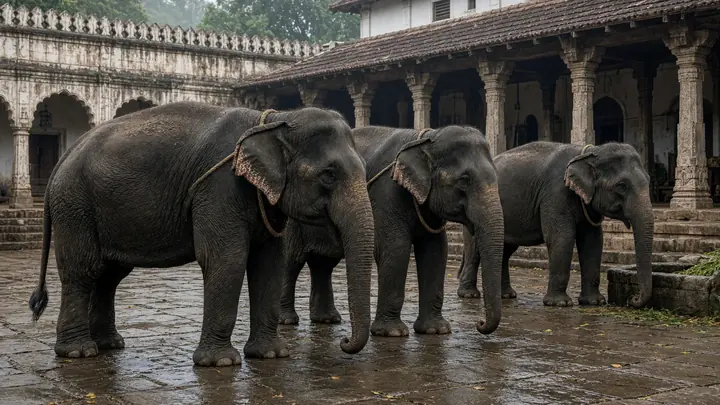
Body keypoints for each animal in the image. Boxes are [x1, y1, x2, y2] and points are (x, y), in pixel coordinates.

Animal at [27, 101, 375, 367]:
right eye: (328, 175)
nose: (344, 340)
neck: (272, 120)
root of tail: (64, 158)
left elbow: (269, 264)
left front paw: (271, 355)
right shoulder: (219, 187)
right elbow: (226, 259)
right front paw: (221, 362)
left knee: (110, 275)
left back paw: (110, 345)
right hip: (75, 205)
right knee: (82, 270)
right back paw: (79, 352)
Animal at [279, 125, 504, 338]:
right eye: (464, 180)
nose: (479, 324)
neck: (425, 138)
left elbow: (436, 251)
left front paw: (436, 330)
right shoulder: (386, 193)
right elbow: (396, 249)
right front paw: (392, 333)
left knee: (323, 264)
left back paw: (327, 319)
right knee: (292, 261)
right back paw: (287, 320)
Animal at [456, 141, 653, 309]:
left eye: (649, 180)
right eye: (621, 186)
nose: (632, 299)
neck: (588, 152)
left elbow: (593, 241)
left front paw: (594, 302)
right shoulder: (555, 194)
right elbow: (561, 238)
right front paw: (559, 304)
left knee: (505, 250)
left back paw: (506, 296)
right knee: (476, 249)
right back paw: (469, 295)